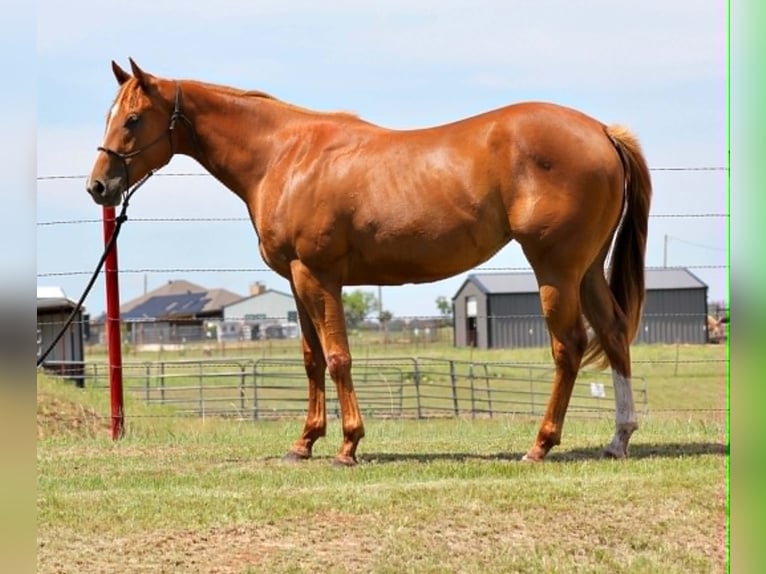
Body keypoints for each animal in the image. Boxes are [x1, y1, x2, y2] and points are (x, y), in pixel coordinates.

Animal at [87, 59, 651, 465]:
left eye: (133, 119)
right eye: (109, 116)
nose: (98, 186)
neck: (285, 156)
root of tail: (602, 131)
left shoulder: (318, 276)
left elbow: (338, 357)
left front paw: (348, 445)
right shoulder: (297, 281)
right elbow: (312, 359)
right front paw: (304, 443)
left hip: (555, 269)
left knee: (569, 346)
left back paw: (540, 444)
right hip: (587, 270)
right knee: (613, 333)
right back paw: (618, 439)